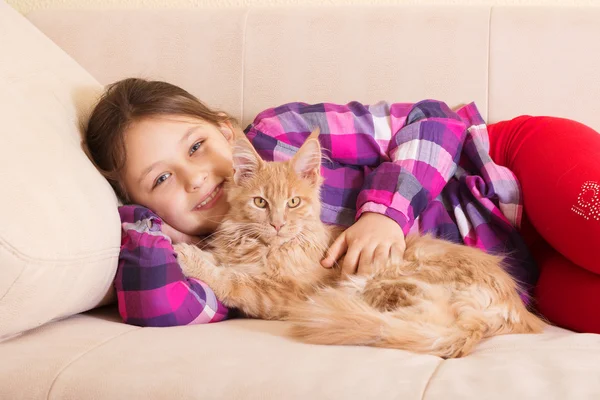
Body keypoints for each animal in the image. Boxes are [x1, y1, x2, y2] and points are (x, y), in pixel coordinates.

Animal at [176, 129, 548, 360]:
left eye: (293, 203)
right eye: (260, 202)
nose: (278, 224)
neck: (263, 247)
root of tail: (511, 309)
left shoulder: (283, 293)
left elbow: (234, 280)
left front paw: (189, 256)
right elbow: (229, 266)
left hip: (386, 277)